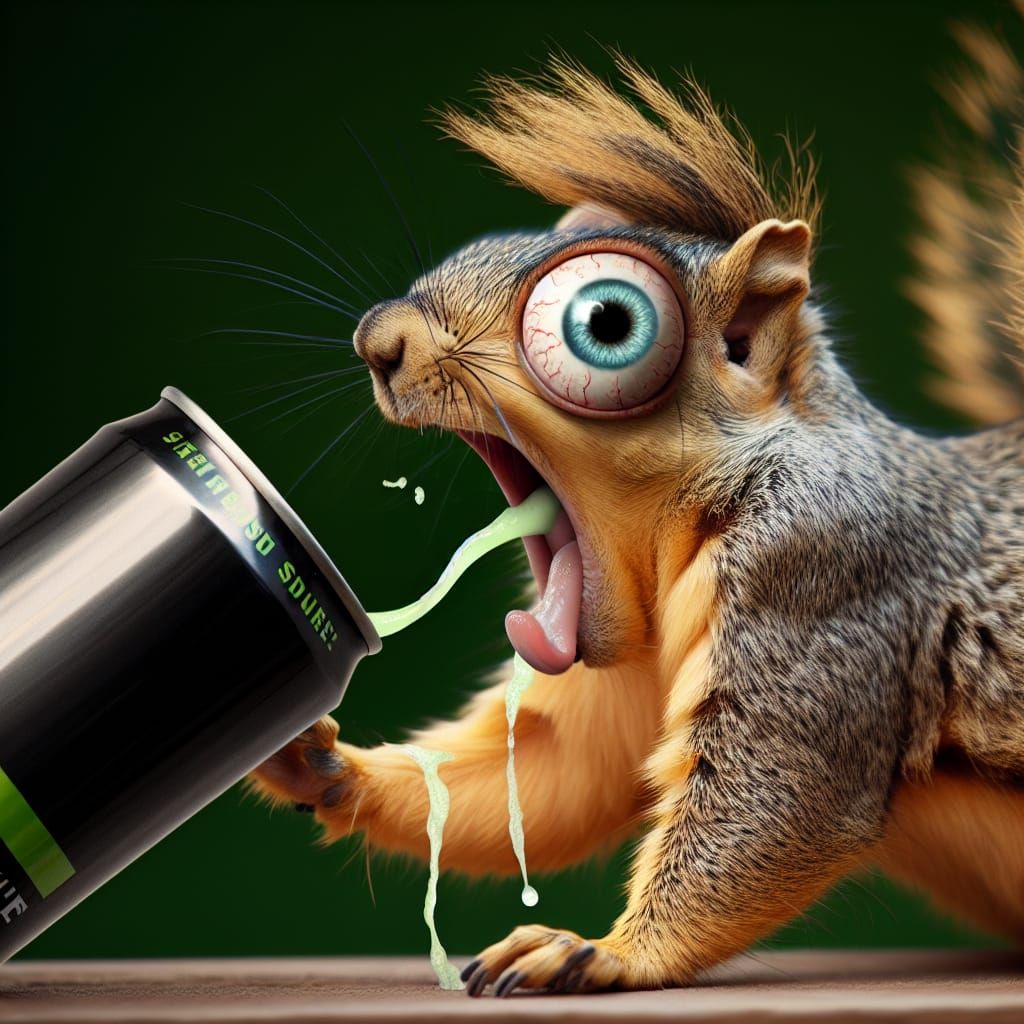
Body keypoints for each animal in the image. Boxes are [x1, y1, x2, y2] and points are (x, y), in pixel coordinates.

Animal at [250, 8, 1024, 997]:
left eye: (606, 324)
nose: (378, 342)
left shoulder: (822, 581)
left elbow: (777, 797)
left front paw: (604, 953)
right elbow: (555, 777)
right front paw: (320, 762)